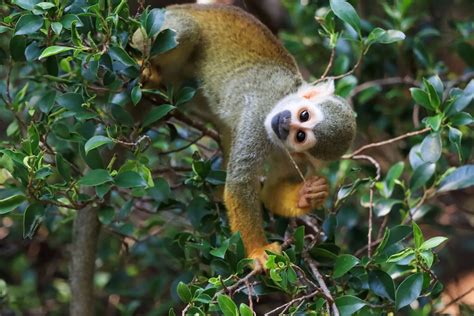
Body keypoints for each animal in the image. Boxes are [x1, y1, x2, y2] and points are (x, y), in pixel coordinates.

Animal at [133, 3, 356, 268]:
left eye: (300, 136)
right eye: (303, 115)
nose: (284, 124)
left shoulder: (292, 155)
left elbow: (269, 193)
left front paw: (307, 196)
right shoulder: (260, 113)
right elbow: (240, 183)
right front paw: (258, 251)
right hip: (158, 23)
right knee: (186, 31)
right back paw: (146, 68)